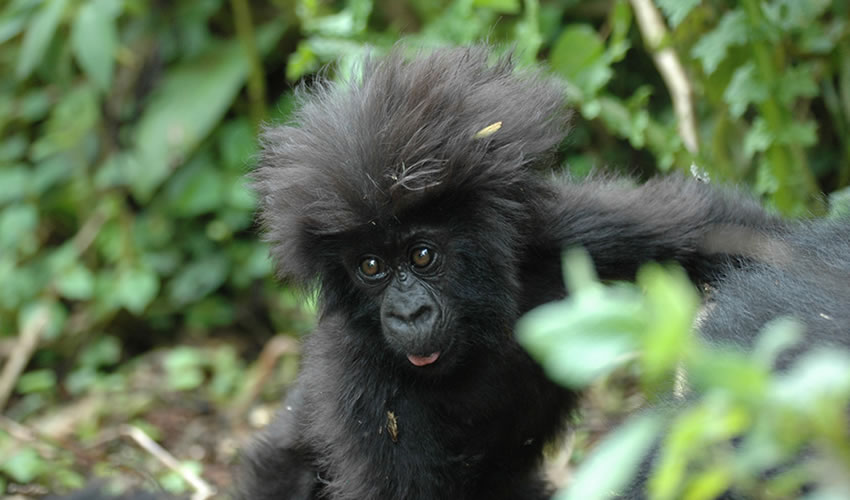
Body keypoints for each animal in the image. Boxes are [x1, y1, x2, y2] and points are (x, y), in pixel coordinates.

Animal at [240, 47, 848, 500]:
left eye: (422, 256)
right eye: (370, 267)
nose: (408, 313)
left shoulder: (551, 236)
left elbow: (719, 231)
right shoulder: (361, 378)